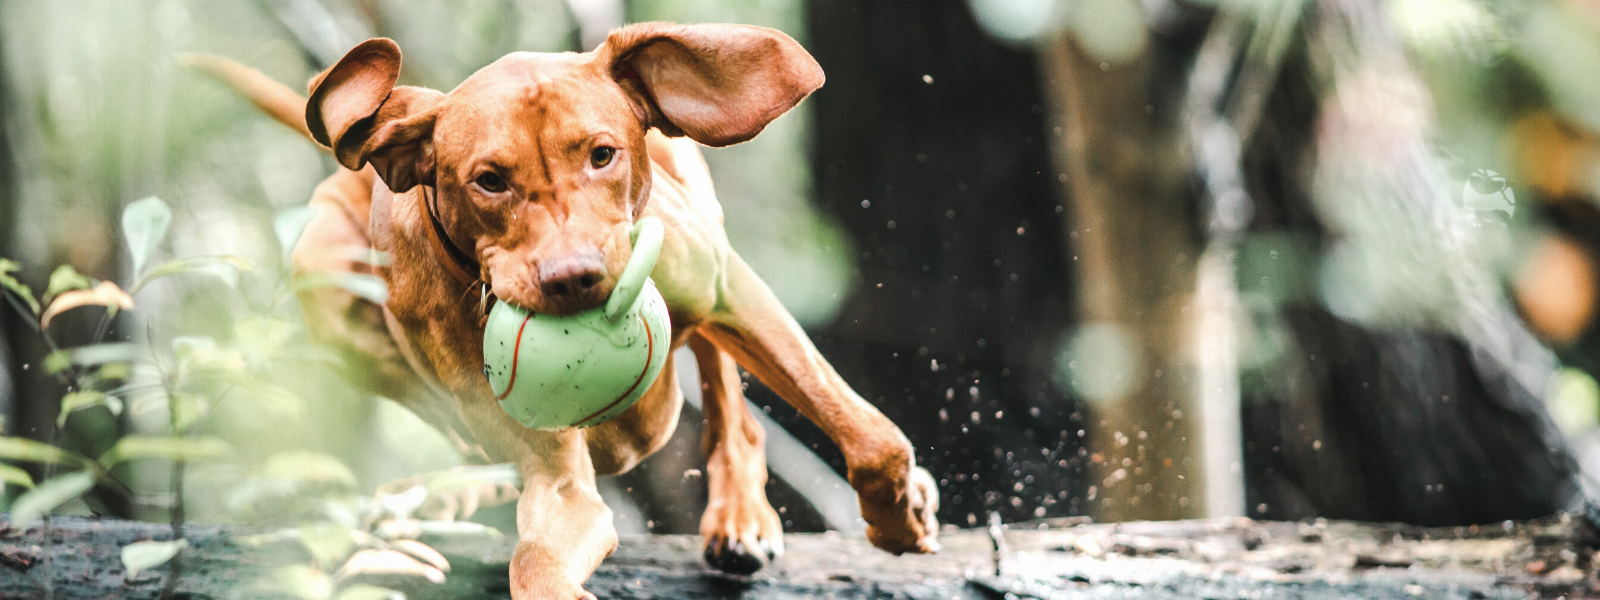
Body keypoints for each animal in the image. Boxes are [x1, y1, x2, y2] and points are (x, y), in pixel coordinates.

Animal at [195, 21, 934, 598]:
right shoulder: (556, 476)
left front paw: (900, 519)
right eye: (489, 180)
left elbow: (872, 439)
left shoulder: (729, 291)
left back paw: (740, 515)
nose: (575, 278)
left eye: (603, 155)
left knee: (730, 401)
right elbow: (538, 555)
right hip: (324, 274)